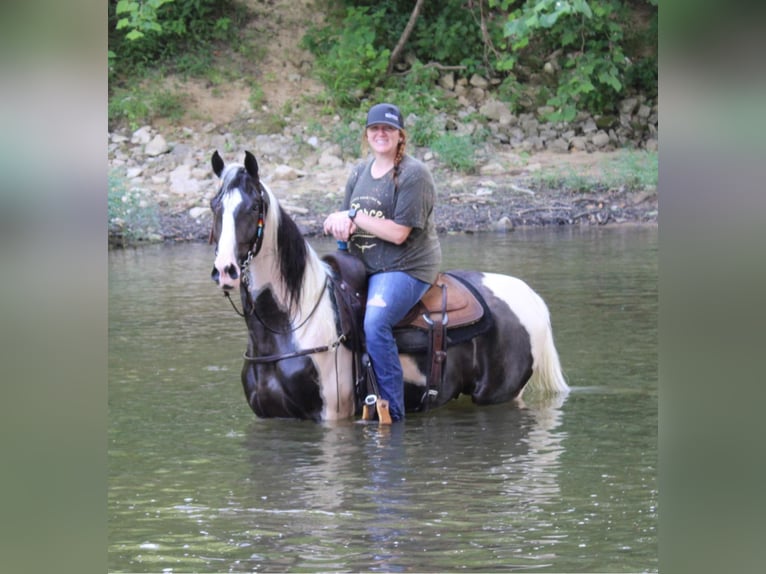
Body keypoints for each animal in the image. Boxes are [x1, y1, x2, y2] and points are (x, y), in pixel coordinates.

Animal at [210, 152, 568, 424]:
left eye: (253, 207)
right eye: (215, 206)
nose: (226, 270)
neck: (291, 322)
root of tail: (530, 297)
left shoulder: (330, 418)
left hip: (499, 395)